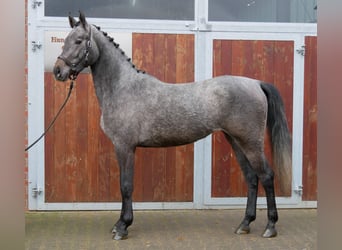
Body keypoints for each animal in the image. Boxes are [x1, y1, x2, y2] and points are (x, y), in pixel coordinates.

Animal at [53, 12, 292, 239]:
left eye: (79, 40)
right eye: (66, 40)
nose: (58, 71)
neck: (123, 88)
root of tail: (256, 83)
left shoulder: (125, 147)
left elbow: (126, 186)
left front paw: (122, 227)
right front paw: (120, 224)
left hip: (250, 143)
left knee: (266, 176)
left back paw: (270, 226)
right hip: (236, 141)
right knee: (252, 178)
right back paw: (245, 224)